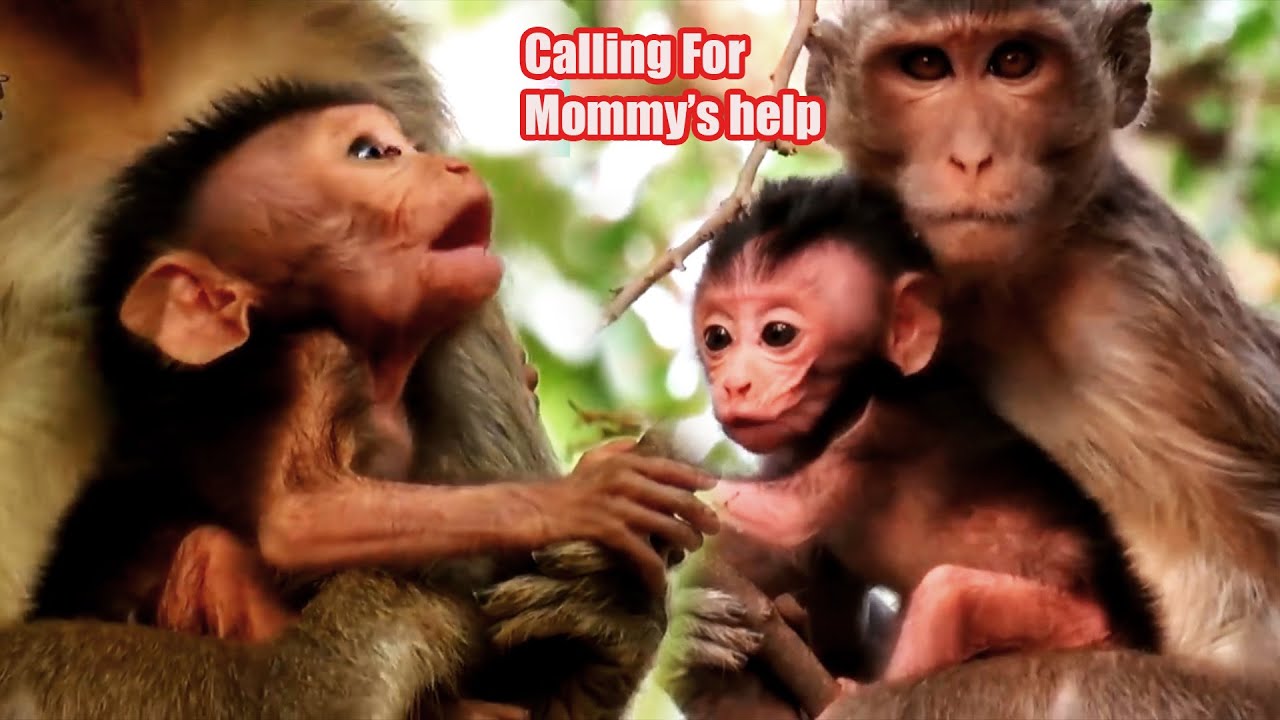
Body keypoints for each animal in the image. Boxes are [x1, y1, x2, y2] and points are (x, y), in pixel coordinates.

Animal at [0, 1, 681, 717]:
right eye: (369, 154)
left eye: (408, 146)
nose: (449, 170)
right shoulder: (314, 359)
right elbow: (301, 517)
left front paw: (605, 609)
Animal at [661, 174, 1157, 720]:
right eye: (718, 338)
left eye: (778, 334)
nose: (735, 385)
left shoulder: (876, 429)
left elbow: (779, 516)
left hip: (1079, 632)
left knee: (949, 598)